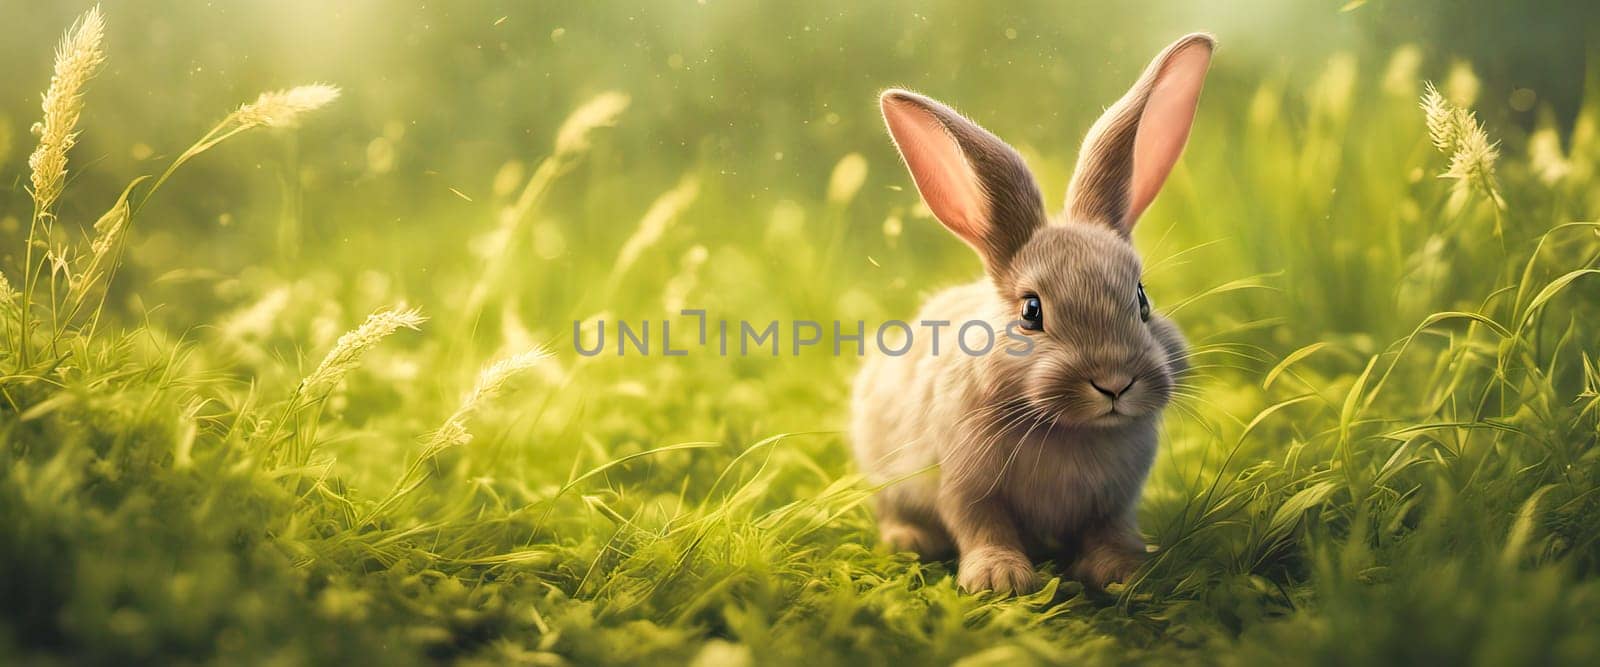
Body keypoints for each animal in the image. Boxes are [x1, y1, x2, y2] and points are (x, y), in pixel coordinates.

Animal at [851, 33, 1209, 591]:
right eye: (1031, 310)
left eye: (1142, 300)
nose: (1114, 382)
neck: (1068, 430)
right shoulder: (966, 486)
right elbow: (982, 526)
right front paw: (1000, 579)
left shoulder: (1115, 500)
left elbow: (1109, 529)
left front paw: (1124, 570)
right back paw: (910, 540)